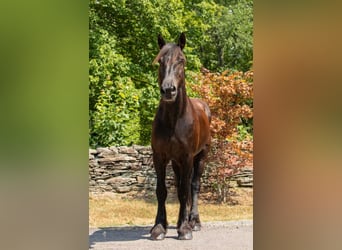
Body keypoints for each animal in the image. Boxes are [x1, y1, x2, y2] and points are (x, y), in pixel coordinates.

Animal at [150, 32, 211, 240]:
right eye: (160, 60)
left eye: (181, 60)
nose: (169, 90)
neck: (174, 120)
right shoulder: (159, 157)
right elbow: (162, 190)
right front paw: (159, 227)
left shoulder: (187, 157)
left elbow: (185, 191)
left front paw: (184, 229)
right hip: (176, 162)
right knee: (179, 185)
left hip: (201, 157)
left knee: (193, 185)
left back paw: (194, 221)